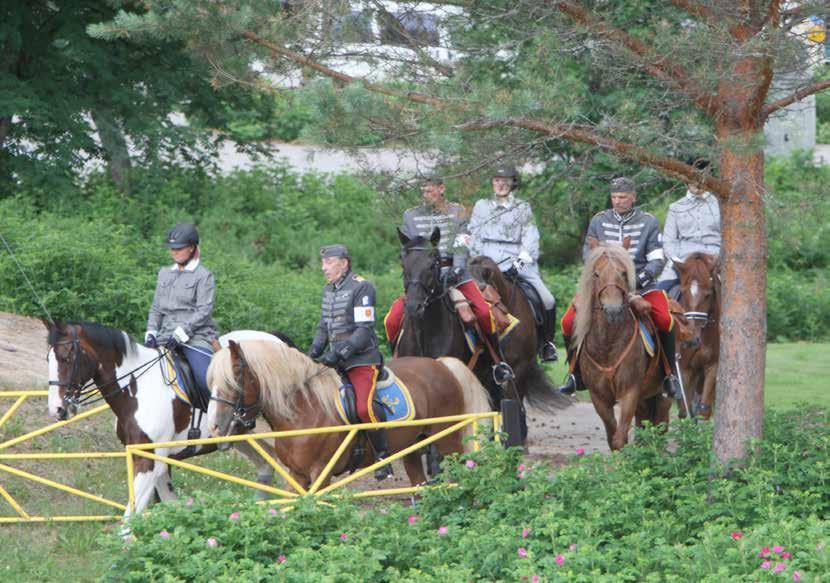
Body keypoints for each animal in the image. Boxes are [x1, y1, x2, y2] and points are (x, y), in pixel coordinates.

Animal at [208, 340, 494, 490]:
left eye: (235, 376)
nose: (214, 427)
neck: (304, 410)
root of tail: (442, 364)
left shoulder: (320, 473)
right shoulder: (297, 476)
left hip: (449, 442)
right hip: (412, 448)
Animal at [580, 242, 676, 452]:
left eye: (624, 273)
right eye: (596, 274)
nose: (613, 310)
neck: (608, 345)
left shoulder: (629, 392)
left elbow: (620, 436)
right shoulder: (599, 397)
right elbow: (613, 438)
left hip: (662, 393)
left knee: (660, 422)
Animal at [676, 251, 720, 420]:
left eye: (708, 295)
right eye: (683, 293)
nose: (691, 341)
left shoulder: (712, 366)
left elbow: (703, 411)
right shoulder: (685, 369)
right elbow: (685, 410)